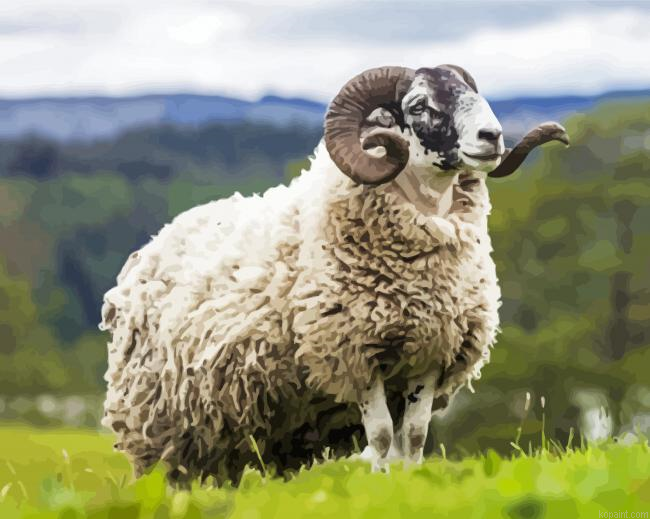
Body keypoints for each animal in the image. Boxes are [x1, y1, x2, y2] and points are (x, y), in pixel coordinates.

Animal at [100, 65, 569, 484]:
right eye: (418, 105)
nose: (492, 137)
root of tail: (156, 239)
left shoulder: (430, 355)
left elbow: (414, 436)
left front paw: (410, 480)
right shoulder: (354, 355)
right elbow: (380, 435)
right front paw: (381, 482)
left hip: (229, 424)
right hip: (162, 419)